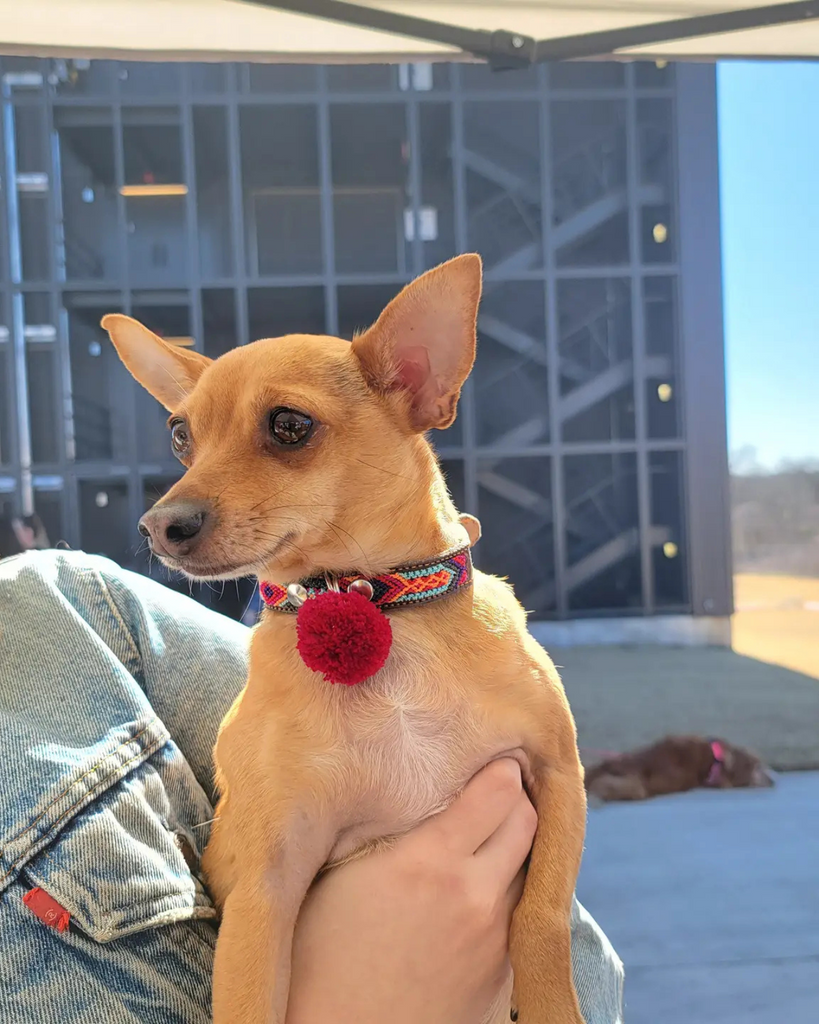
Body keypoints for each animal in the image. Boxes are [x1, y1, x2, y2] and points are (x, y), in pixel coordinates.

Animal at [103, 256, 589, 1024]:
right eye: (180, 436)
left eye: (289, 425)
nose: (159, 526)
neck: (371, 602)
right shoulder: (266, 885)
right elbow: (248, 1004)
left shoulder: (557, 774)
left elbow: (541, 918)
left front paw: (550, 1006)